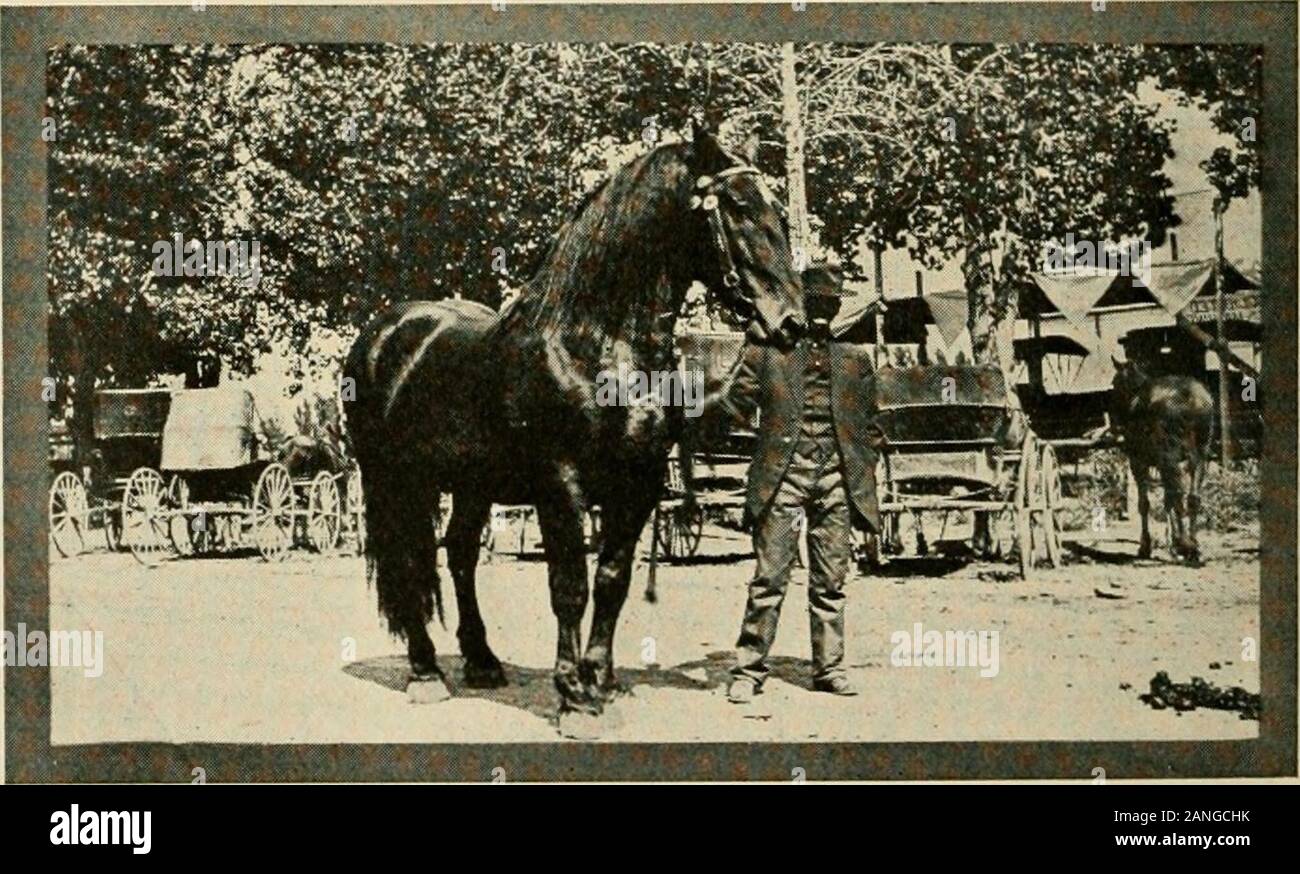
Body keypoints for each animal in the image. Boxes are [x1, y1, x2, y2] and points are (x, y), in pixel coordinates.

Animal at [343, 128, 800, 728]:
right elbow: (569, 587)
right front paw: (574, 697)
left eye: (777, 211)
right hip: (395, 481)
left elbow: (611, 582)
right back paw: (425, 672)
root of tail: (385, 332)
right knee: (408, 560)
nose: (792, 321)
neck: (598, 347)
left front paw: (598, 681)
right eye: (740, 208)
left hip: (472, 486)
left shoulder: (638, 487)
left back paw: (482, 661)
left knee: (460, 553)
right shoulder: (561, 487)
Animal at [1107, 358, 1216, 564]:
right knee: (1192, 498)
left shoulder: (1138, 462)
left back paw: (1185, 545)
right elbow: (1167, 500)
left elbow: (1145, 504)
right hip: (1199, 455)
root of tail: (1193, 401)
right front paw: (1171, 542)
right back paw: (1194, 546)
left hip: (1170, 456)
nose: (1114, 420)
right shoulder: (1162, 463)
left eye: (1115, 383)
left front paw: (1146, 546)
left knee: (1179, 496)